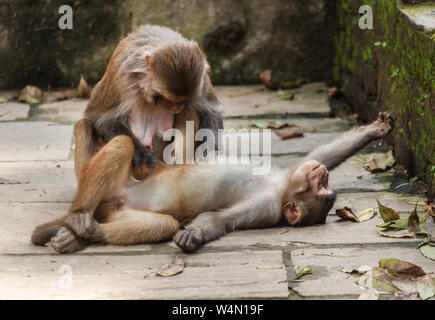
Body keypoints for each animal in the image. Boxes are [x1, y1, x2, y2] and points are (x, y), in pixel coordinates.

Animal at [32, 112, 396, 252]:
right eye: (324, 184)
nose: (322, 175)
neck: (277, 189)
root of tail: (111, 202)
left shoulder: (266, 207)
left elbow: (219, 220)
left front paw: (193, 234)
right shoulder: (284, 178)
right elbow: (323, 152)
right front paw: (372, 131)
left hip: (117, 207)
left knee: (162, 224)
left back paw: (82, 232)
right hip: (116, 184)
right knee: (121, 145)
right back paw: (78, 215)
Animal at [73, 25, 223, 180]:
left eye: (184, 100)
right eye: (169, 100)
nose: (177, 107)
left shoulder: (202, 79)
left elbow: (210, 110)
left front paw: (209, 150)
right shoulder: (121, 78)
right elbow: (102, 119)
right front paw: (143, 156)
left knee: (190, 110)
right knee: (83, 125)